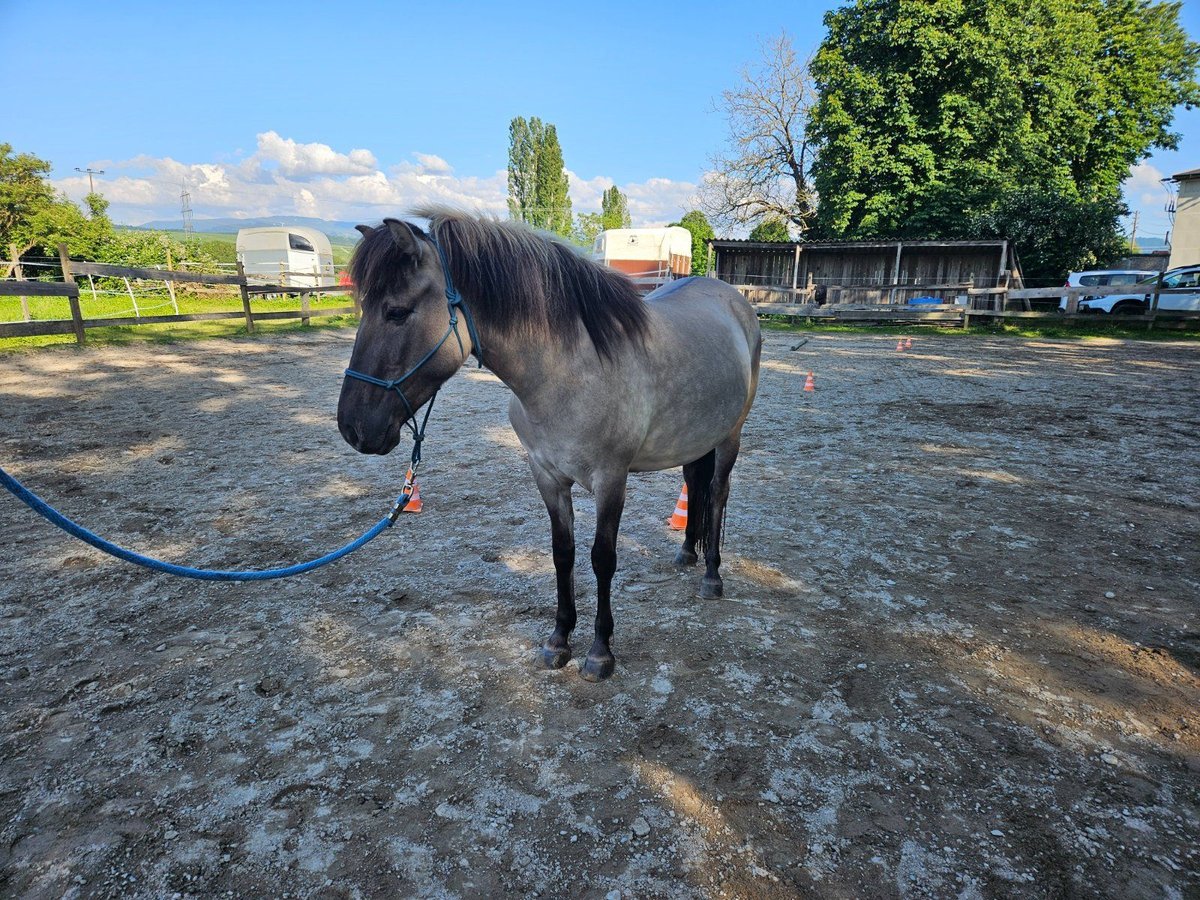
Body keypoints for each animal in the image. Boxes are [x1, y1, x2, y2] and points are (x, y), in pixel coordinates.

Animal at [338, 207, 763, 681]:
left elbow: (602, 557)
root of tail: (733, 299)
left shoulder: (611, 479)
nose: (352, 427)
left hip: (729, 437)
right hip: (695, 438)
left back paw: (711, 577)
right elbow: (563, 554)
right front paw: (558, 640)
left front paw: (600, 652)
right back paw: (687, 554)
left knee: (718, 495)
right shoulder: (547, 475)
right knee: (694, 481)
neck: (568, 370)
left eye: (396, 312)